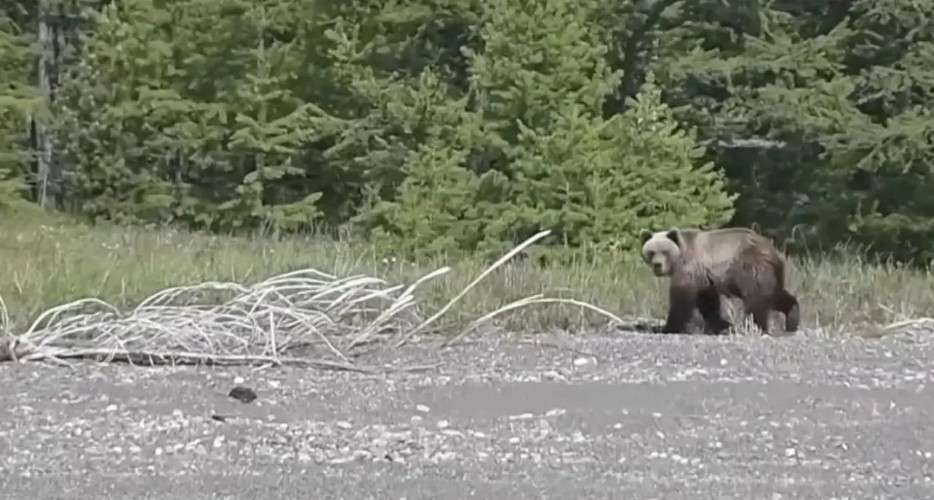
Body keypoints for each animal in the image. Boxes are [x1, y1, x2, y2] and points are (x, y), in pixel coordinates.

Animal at [639, 227, 800, 335]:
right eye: (651, 252)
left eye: (665, 251)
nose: (657, 265)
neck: (679, 257)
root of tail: (774, 252)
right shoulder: (704, 277)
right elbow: (708, 302)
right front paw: (720, 325)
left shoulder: (689, 268)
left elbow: (681, 298)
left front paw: (668, 327)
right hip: (769, 273)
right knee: (774, 294)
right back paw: (792, 317)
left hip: (750, 267)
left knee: (757, 299)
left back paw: (757, 326)